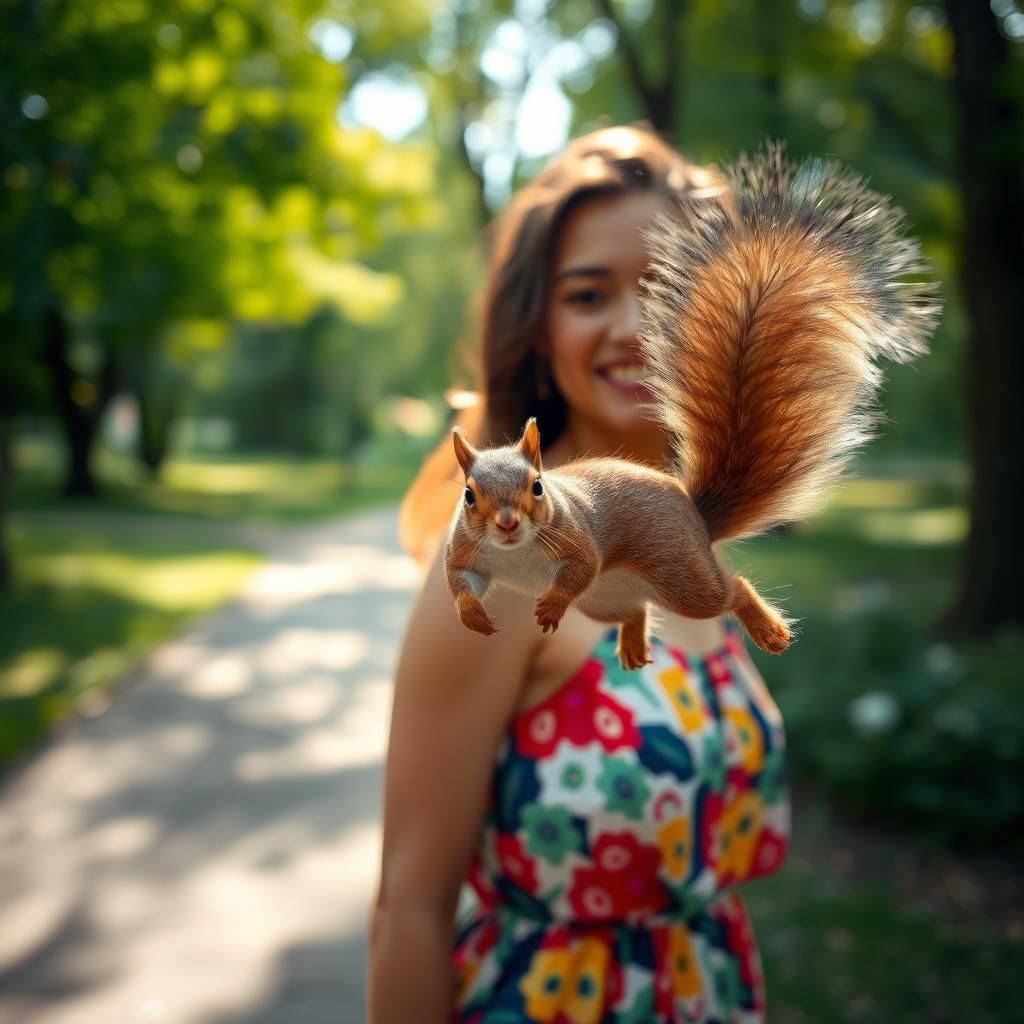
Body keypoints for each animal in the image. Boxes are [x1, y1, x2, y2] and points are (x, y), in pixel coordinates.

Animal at [443, 145, 940, 669]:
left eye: (537, 487)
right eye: (469, 496)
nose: (507, 523)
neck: (514, 551)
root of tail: (695, 516)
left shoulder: (578, 538)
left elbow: (580, 568)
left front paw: (553, 603)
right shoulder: (464, 551)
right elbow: (459, 583)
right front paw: (472, 614)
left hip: (679, 573)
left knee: (728, 590)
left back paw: (766, 628)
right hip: (606, 600)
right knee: (636, 610)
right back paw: (633, 645)